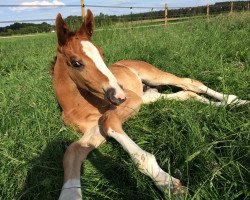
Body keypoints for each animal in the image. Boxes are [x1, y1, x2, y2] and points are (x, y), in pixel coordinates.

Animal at [53, 9, 249, 198]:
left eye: (102, 55)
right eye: (76, 62)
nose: (119, 95)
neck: (78, 106)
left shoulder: (129, 101)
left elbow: (108, 120)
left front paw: (168, 184)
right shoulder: (95, 129)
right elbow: (71, 151)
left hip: (154, 78)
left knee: (191, 83)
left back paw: (236, 100)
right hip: (148, 96)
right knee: (187, 94)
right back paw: (226, 104)